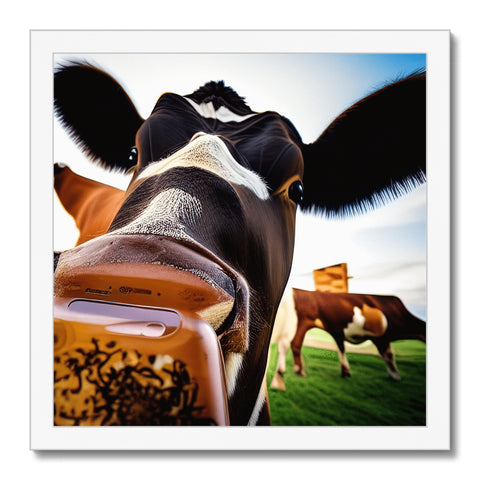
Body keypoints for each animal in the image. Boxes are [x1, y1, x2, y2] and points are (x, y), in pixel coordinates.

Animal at [272, 286, 426, 388]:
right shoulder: (381, 337)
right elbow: (388, 354)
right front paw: (395, 376)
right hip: (299, 323)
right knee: (293, 344)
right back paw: (294, 371)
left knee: (292, 345)